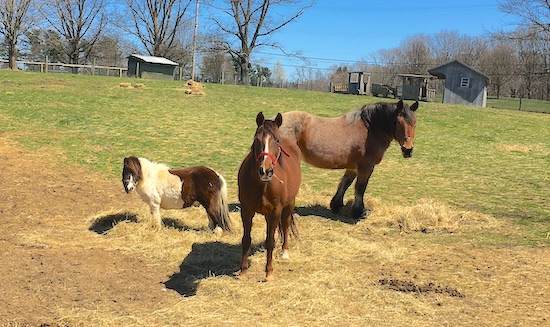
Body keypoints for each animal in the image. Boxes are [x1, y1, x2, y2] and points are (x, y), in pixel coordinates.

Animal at [237, 112, 302, 282]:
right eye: (256, 139)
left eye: (277, 140)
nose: (265, 171)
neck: (262, 185)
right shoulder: (246, 210)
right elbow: (246, 239)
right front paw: (243, 271)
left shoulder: (275, 212)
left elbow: (270, 242)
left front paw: (269, 273)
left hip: (289, 204)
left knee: (285, 225)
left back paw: (285, 252)